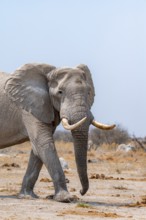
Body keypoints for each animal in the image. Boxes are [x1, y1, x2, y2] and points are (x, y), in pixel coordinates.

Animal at [0, 62, 115, 202]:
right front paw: (66, 198)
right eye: (60, 92)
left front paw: (27, 196)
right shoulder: (29, 108)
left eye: (88, 92)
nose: (80, 192)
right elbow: (43, 142)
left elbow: (37, 149)